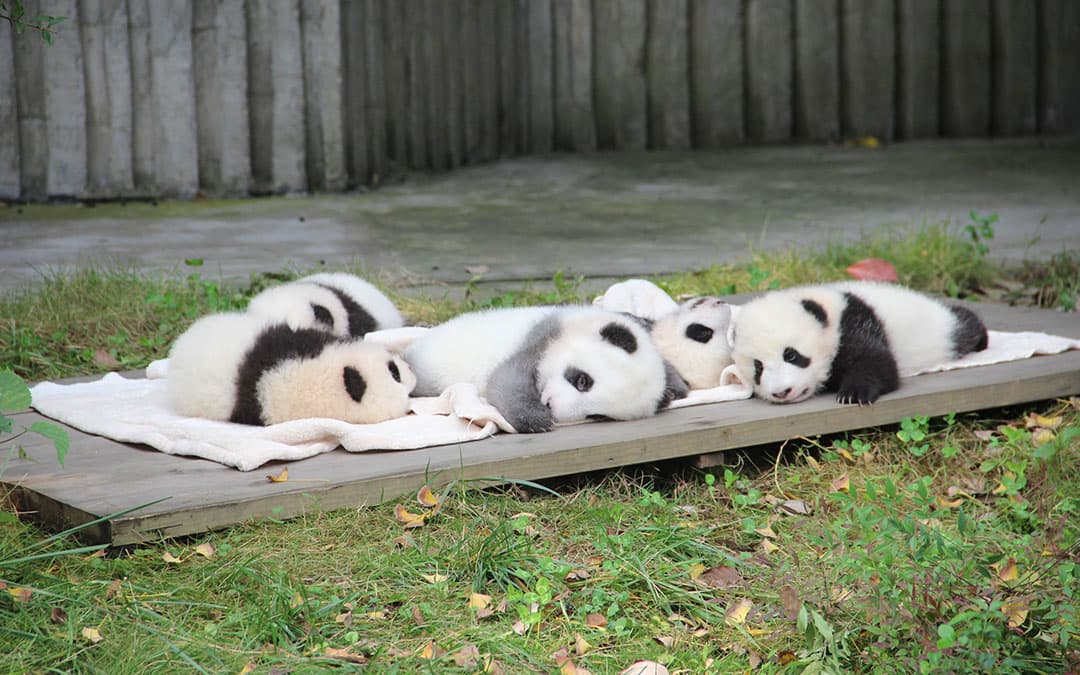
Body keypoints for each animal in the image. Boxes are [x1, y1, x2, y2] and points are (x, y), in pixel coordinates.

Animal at [403, 305, 689, 433]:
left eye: (596, 415)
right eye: (583, 381)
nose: (551, 407)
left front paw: (674, 389)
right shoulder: (539, 337)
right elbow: (504, 380)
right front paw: (535, 420)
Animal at [730, 281, 988, 405]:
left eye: (791, 355)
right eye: (758, 367)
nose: (782, 392)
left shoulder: (852, 323)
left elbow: (878, 363)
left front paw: (853, 393)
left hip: (942, 329)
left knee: (963, 326)